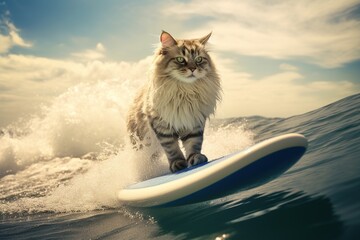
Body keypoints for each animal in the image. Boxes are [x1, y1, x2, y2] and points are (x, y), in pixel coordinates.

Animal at [126, 30, 222, 172]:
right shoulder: (162, 126)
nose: (193, 69)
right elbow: (172, 148)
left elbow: (194, 143)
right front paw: (177, 164)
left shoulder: (194, 122)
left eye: (199, 60)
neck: (185, 91)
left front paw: (195, 158)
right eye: (180, 59)